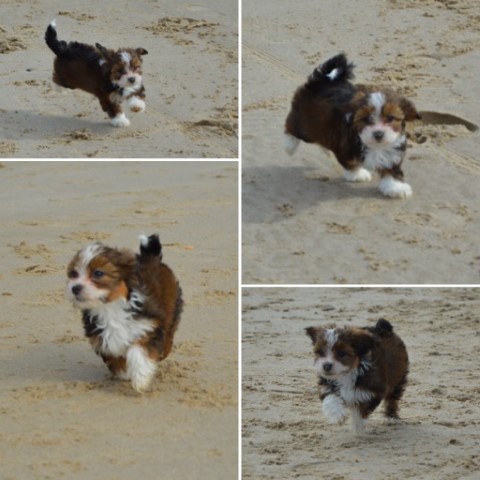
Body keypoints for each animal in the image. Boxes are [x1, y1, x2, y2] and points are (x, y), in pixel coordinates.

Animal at [65, 234, 182, 392]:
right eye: (73, 273)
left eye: (98, 273)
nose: (75, 288)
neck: (110, 308)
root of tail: (151, 256)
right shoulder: (102, 338)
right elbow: (114, 357)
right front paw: (124, 373)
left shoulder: (146, 326)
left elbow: (139, 352)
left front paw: (140, 379)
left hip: (172, 308)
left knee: (169, 331)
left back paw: (164, 349)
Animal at [284, 54, 420, 199]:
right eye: (366, 119)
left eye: (390, 118)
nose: (378, 134)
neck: (375, 146)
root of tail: (322, 81)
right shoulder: (345, 146)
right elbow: (351, 162)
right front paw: (358, 174)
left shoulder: (392, 151)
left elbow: (392, 169)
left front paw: (395, 187)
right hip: (305, 122)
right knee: (292, 127)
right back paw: (289, 146)